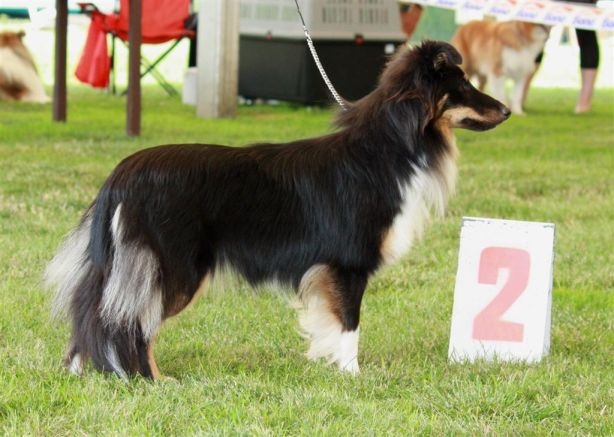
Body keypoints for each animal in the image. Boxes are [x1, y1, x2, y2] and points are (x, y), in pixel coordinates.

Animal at [45, 39, 512, 376]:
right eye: (462, 86)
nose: (507, 110)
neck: (390, 144)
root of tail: (120, 175)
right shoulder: (348, 264)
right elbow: (350, 324)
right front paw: (353, 375)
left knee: (91, 312)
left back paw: (80, 372)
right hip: (171, 268)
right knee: (132, 323)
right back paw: (153, 380)